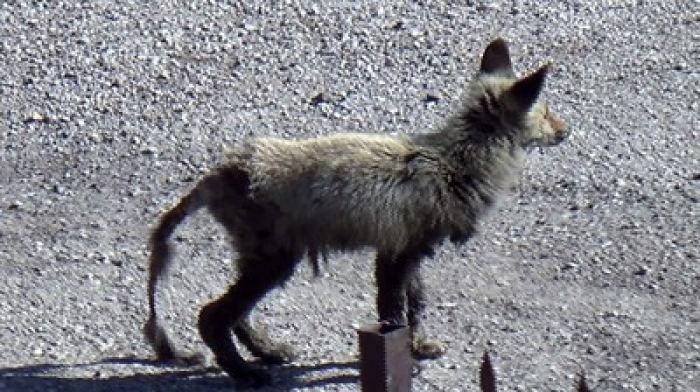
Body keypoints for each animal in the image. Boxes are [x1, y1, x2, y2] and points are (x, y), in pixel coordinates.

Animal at [144, 38, 568, 388]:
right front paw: (406, 361)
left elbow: (414, 306)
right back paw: (245, 373)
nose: (567, 130)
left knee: (235, 314)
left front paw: (418, 346)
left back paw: (266, 351)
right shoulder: (400, 254)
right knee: (212, 316)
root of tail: (222, 170)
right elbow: (394, 313)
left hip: (261, 260)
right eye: (547, 112)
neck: (453, 164)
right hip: (275, 261)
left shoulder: (404, 248)